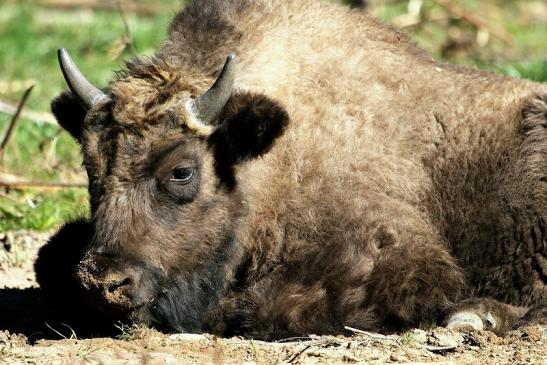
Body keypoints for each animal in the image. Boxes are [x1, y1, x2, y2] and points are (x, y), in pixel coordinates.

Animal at [34, 0, 544, 338]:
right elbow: (47, 259)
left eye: (182, 171)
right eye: (90, 166)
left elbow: (264, 306)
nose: (102, 282)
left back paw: (473, 316)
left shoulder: (398, 255)